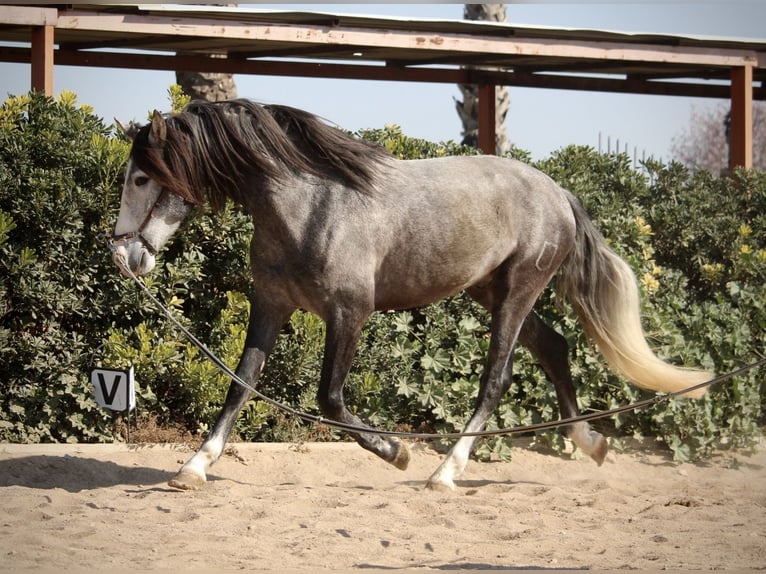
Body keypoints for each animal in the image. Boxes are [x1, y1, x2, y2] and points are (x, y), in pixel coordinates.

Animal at [110, 99, 711, 492]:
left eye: (140, 178)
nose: (125, 257)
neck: (311, 205)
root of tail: (558, 191)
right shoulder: (271, 305)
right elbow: (241, 385)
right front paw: (193, 467)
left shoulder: (349, 313)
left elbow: (329, 398)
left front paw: (396, 451)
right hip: (491, 291)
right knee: (555, 347)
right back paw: (591, 443)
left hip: (518, 290)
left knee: (497, 379)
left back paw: (445, 473)